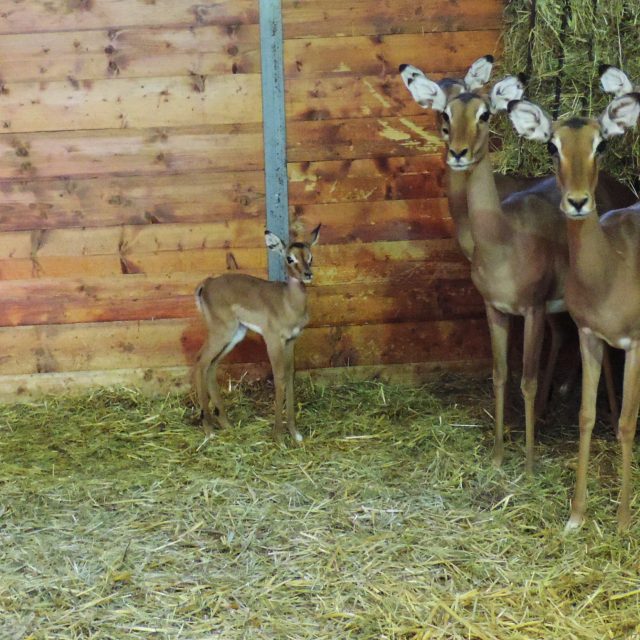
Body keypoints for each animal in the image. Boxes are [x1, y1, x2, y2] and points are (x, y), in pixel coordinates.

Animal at [193, 224, 321, 444]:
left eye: (310, 256)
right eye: (290, 258)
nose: (307, 274)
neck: (288, 303)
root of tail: (206, 284)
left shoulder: (291, 341)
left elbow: (289, 377)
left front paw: (295, 433)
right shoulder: (273, 340)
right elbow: (279, 378)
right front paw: (279, 437)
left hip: (234, 335)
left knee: (211, 365)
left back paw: (226, 424)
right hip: (221, 332)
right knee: (202, 361)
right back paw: (209, 430)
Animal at [398, 58, 634, 473]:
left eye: (484, 113)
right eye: (444, 110)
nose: (457, 151)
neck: (500, 240)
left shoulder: (533, 309)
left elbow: (527, 379)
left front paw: (528, 460)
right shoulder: (495, 309)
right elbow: (499, 374)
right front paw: (497, 452)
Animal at [507, 72, 640, 530]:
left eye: (602, 144)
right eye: (552, 144)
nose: (579, 201)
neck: (610, 270)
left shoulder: (634, 345)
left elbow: (626, 423)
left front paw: (622, 521)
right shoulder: (589, 336)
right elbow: (586, 416)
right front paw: (577, 515)